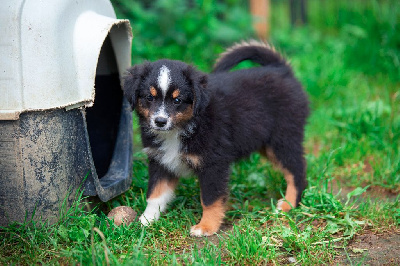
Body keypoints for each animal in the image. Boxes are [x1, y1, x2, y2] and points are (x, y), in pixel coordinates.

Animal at [123, 41, 310, 237]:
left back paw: (288, 205)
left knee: (297, 170)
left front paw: (206, 227)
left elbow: (210, 199)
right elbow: (156, 193)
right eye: (149, 97)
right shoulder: (160, 161)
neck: (184, 127)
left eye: (177, 100)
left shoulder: (214, 164)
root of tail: (281, 69)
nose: (160, 121)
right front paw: (146, 220)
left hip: (283, 138)